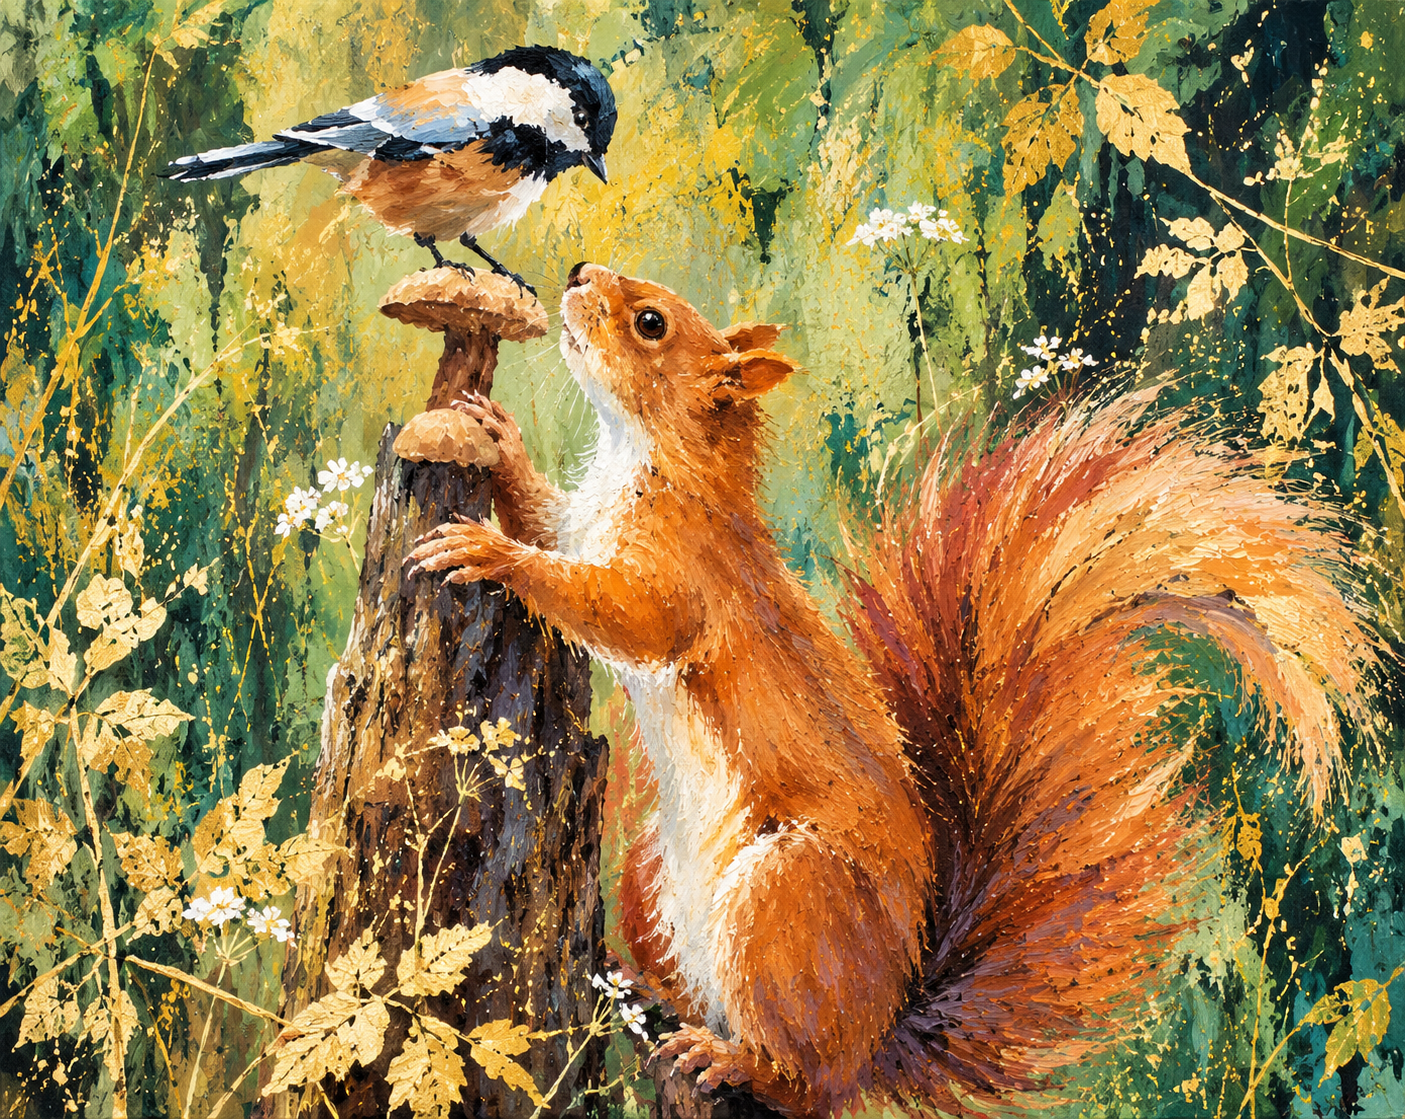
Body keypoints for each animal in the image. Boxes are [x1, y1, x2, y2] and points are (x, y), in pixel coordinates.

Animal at [407, 263, 1378, 1117]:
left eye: (650, 323)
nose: (576, 273)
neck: (641, 455)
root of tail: (873, 1037)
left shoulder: (681, 575)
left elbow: (621, 613)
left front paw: (490, 552)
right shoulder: (581, 521)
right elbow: (544, 518)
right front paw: (496, 441)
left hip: (786, 902)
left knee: (799, 1084)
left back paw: (728, 1056)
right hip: (661, 880)